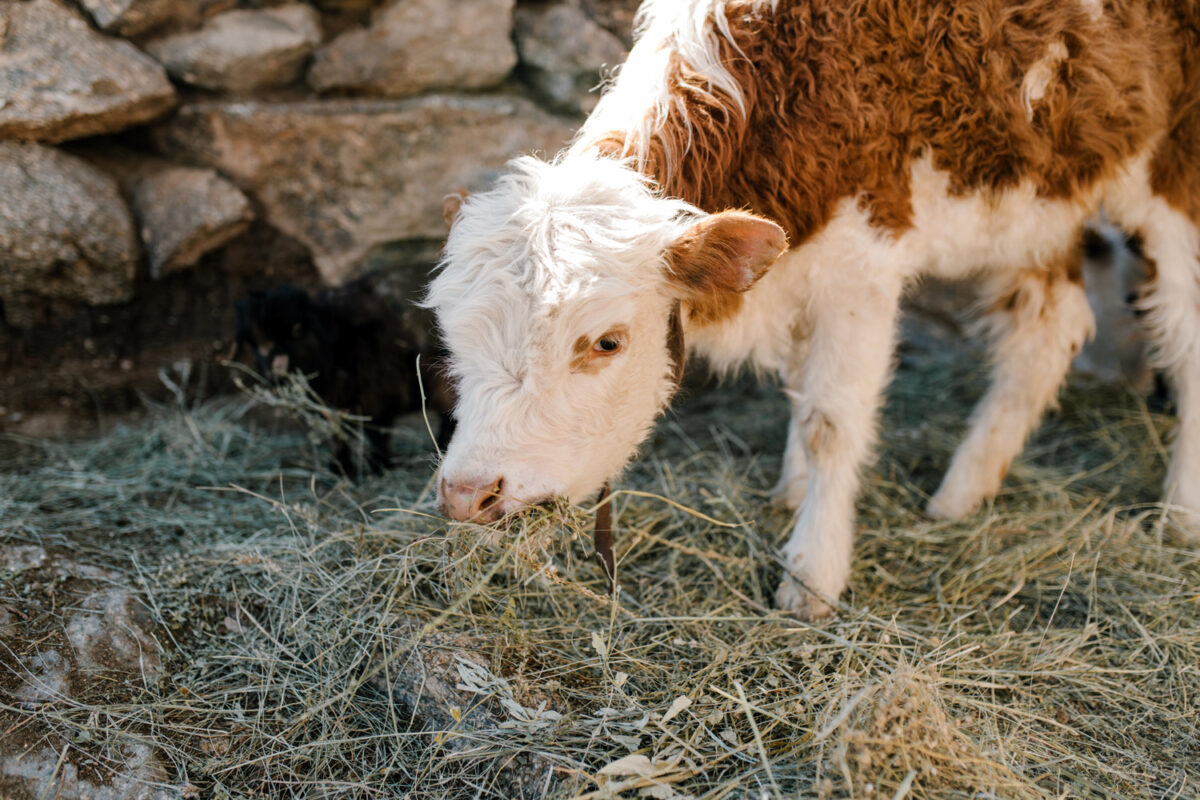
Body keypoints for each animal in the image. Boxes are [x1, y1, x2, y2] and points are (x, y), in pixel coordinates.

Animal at [427, 0, 1200, 618]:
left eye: (606, 343)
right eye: (453, 342)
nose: (468, 494)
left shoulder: (861, 263)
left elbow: (832, 419)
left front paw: (811, 575)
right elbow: (801, 391)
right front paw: (792, 491)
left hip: (1173, 171)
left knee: (1184, 334)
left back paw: (1180, 514)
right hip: (1041, 193)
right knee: (1051, 327)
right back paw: (961, 494)